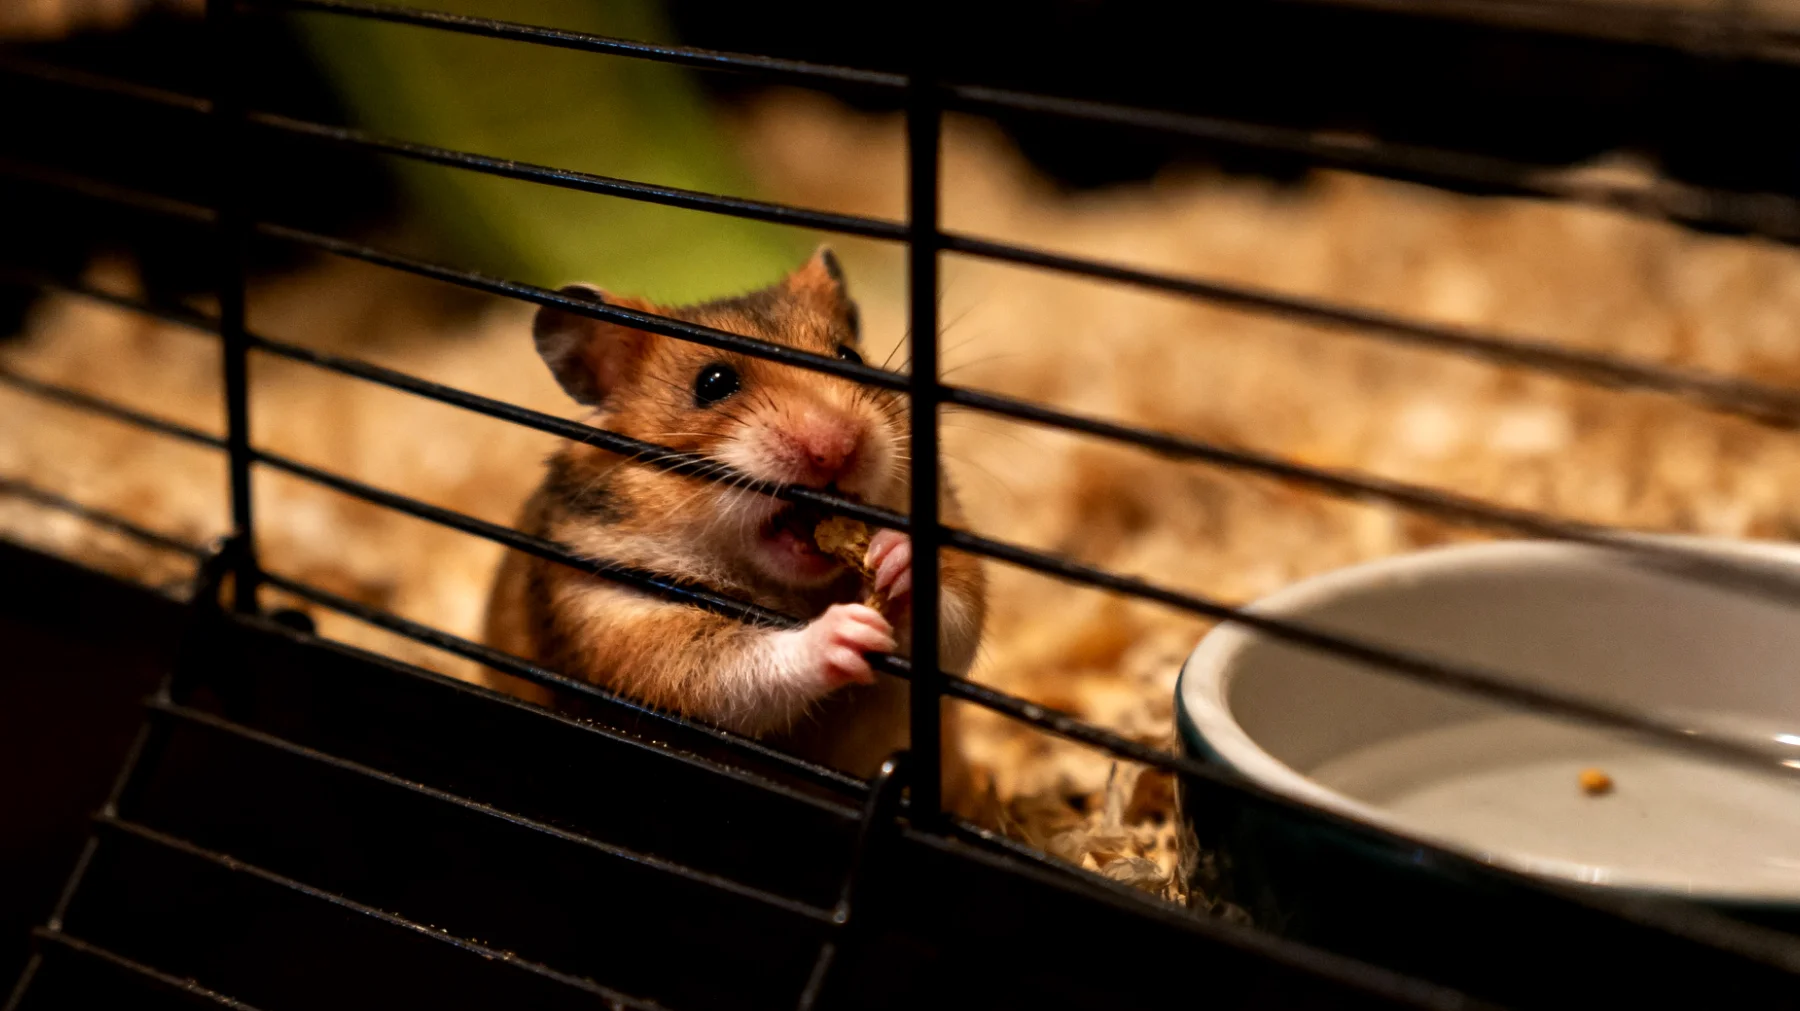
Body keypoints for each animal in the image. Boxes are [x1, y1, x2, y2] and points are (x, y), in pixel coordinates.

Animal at [481, 247, 986, 810]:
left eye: (849, 357)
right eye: (713, 384)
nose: (838, 447)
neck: (793, 588)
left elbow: (953, 624)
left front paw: (900, 556)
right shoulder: (615, 615)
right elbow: (729, 669)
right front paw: (843, 632)